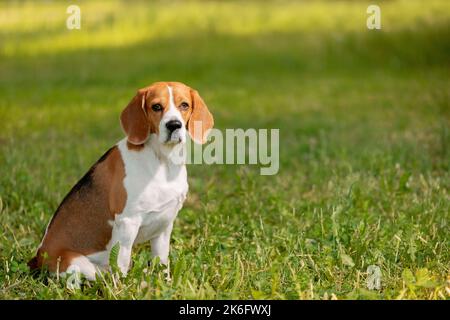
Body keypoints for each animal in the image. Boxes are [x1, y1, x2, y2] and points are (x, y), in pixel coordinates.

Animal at [28, 81, 214, 278]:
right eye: (156, 106)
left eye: (184, 105)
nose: (174, 125)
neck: (163, 161)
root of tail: (38, 256)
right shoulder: (127, 223)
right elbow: (121, 265)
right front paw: (124, 285)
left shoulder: (164, 225)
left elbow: (162, 262)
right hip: (78, 264)